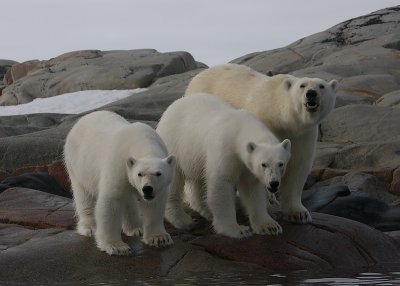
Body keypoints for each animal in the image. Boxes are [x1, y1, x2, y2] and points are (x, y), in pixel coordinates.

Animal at [63, 110, 174, 256]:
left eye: (158, 173)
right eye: (139, 174)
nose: (147, 189)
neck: (141, 142)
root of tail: (82, 119)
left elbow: (154, 205)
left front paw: (159, 238)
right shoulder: (118, 164)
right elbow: (111, 201)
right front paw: (116, 247)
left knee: (128, 200)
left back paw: (136, 228)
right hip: (78, 165)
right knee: (84, 195)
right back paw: (90, 227)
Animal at [156, 93, 290, 237]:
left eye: (281, 164)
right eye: (263, 164)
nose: (273, 183)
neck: (240, 129)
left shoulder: (247, 167)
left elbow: (252, 190)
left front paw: (269, 226)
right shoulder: (225, 150)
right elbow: (221, 184)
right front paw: (237, 229)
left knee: (199, 180)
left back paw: (206, 211)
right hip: (175, 144)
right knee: (174, 180)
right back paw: (183, 220)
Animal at [184, 64, 338, 223]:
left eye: (321, 86)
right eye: (302, 85)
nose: (311, 93)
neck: (281, 116)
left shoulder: (303, 134)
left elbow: (297, 166)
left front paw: (299, 213)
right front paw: (269, 210)